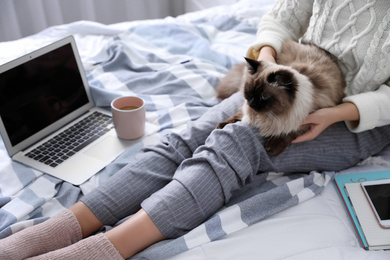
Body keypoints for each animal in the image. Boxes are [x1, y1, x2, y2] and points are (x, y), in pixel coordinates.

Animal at [216, 39, 348, 155]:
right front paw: (221, 126)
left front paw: (272, 147)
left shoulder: (310, 117)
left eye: (264, 97)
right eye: (248, 92)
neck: (272, 115)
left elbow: (290, 132)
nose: (252, 103)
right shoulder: (247, 109)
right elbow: (238, 115)